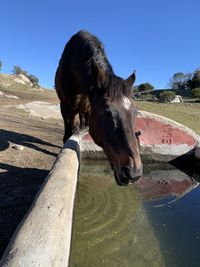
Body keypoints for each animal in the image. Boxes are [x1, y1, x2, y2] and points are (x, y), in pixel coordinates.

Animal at [54, 29, 142, 186]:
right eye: (106, 112)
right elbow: (67, 135)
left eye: (135, 112)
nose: (133, 173)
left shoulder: (89, 110)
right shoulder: (65, 107)